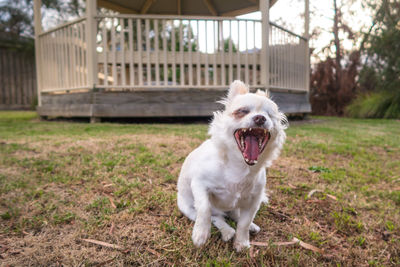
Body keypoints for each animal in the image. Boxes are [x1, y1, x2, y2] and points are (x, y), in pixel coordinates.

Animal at [177, 80, 286, 252]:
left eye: (269, 115)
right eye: (243, 111)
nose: (260, 118)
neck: (239, 166)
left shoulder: (253, 201)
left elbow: (244, 223)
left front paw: (242, 242)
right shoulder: (199, 185)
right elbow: (205, 209)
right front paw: (201, 234)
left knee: (235, 215)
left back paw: (251, 227)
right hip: (187, 209)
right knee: (216, 217)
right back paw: (227, 231)